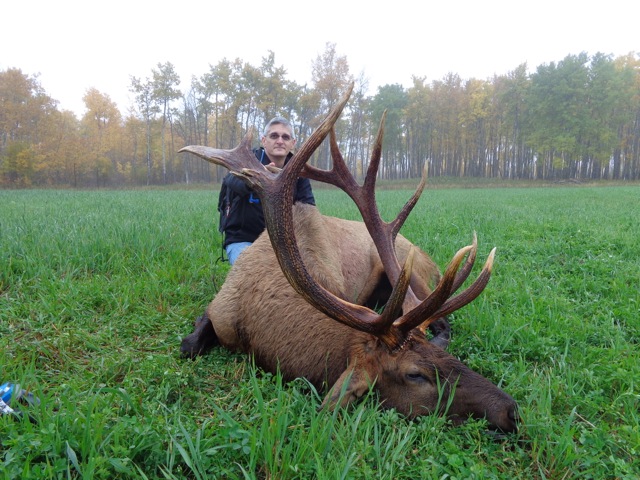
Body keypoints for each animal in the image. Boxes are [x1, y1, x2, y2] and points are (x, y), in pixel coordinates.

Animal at [179, 83, 518, 433]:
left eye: (452, 361)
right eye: (415, 374)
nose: (511, 410)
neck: (251, 325)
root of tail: (433, 263)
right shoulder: (218, 307)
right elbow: (189, 345)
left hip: (412, 273)